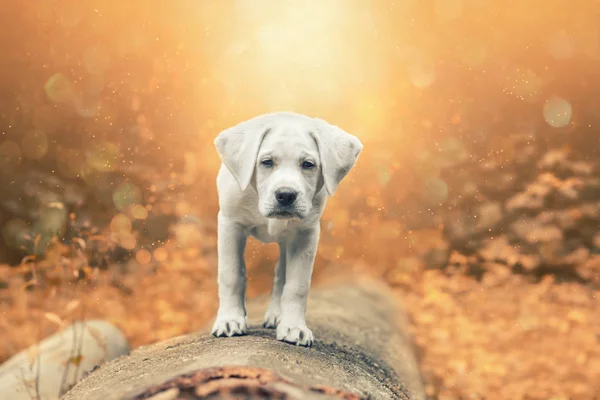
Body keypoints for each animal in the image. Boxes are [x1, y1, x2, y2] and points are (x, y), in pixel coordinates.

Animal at [209, 111, 364, 346]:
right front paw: (230, 320)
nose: (286, 195)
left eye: (308, 164)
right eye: (266, 162)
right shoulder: (230, 224)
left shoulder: (305, 234)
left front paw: (294, 327)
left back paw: (277, 315)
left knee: (281, 275)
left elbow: (296, 285)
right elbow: (231, 274)